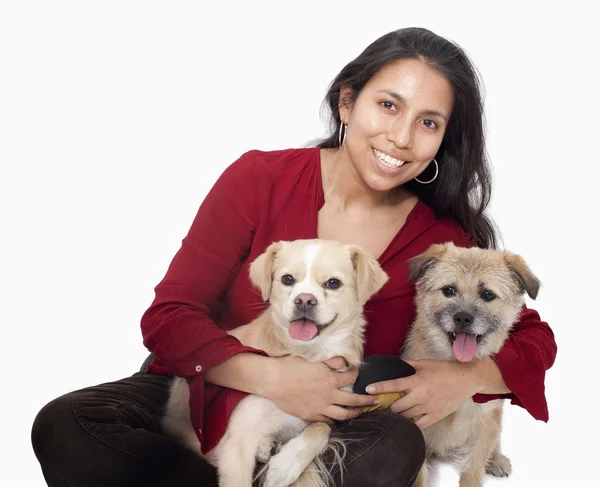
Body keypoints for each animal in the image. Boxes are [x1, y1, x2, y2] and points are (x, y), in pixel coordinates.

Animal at [163, 239, 390, 487]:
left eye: (333, 283)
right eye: (287, 279)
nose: (304, 300)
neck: (308, 354)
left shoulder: (326, 412)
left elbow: (321, 427)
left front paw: (286, 465)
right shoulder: (237, 443)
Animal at [400, 243, 540, 487]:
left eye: (487, 294)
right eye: (448, 290)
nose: (463, 318)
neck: (455, 366)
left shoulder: (486, 421)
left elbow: (474, 467)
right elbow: (420, 474)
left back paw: (497, 460)